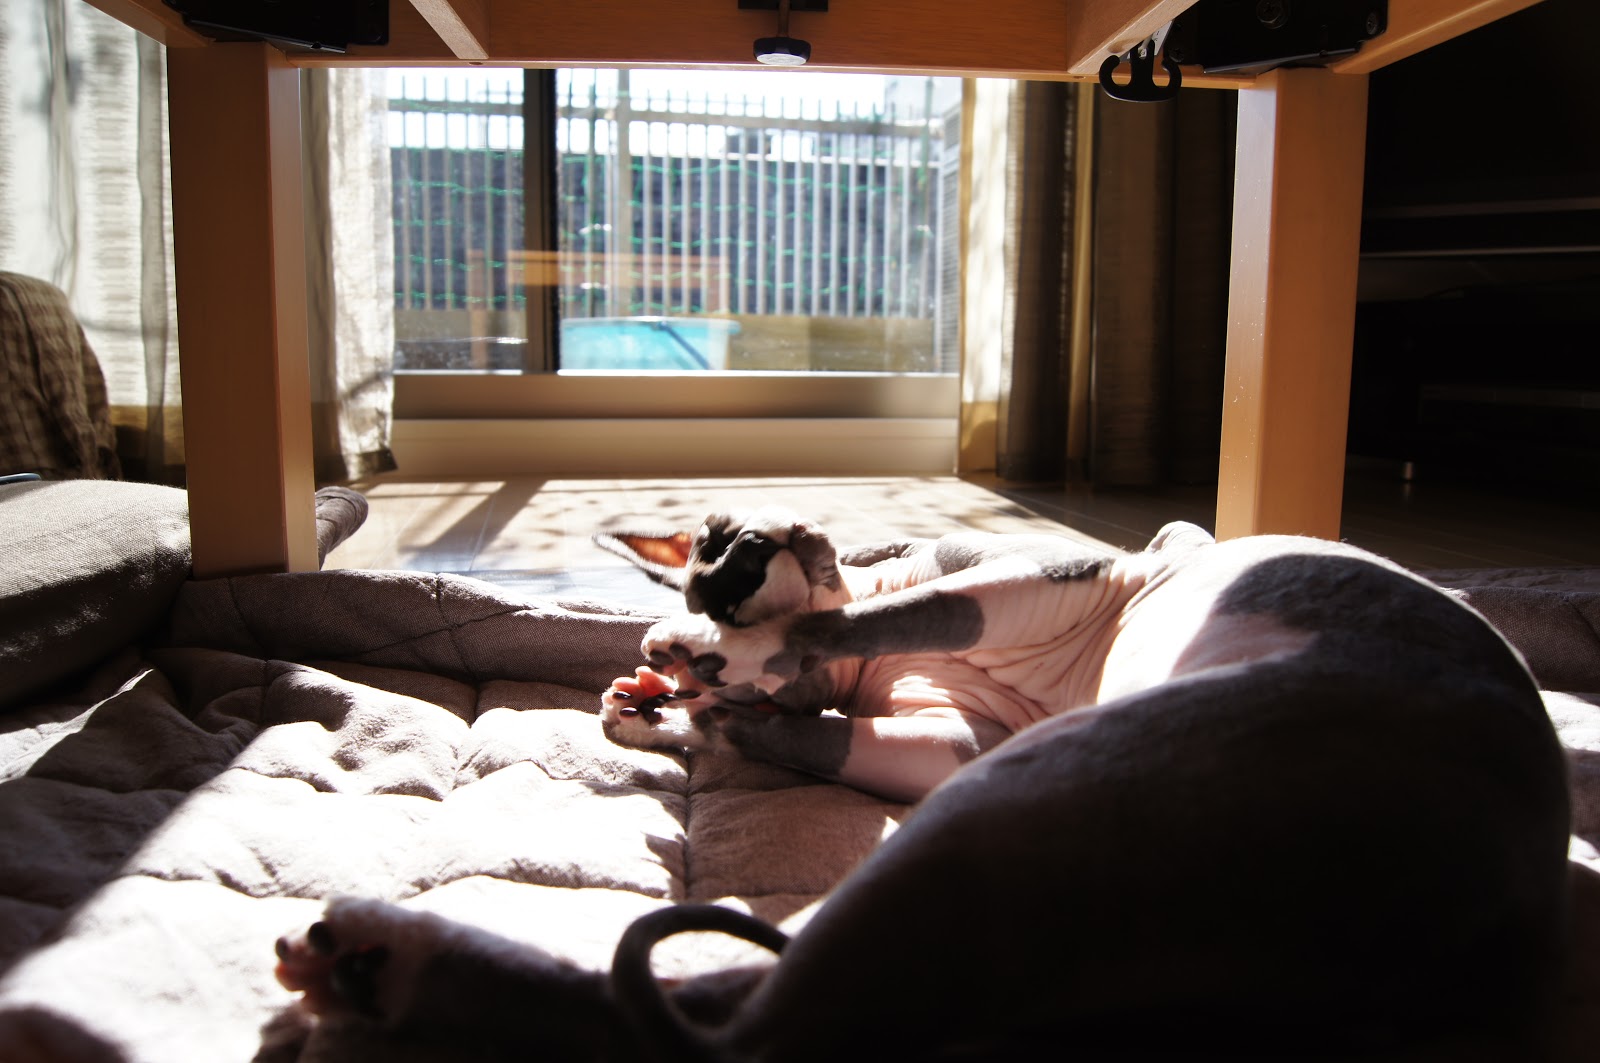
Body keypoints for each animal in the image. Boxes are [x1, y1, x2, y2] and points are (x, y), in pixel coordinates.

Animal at [275, 512, 1573, 1060]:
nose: (725, 576)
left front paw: (712, 669)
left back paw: (392, 962)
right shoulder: (945, 738)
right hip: (986, 813)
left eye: (722, 541)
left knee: (746, 1031)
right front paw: (674, 702)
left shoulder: (1004, 593)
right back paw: (375, 966)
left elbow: (873, 616)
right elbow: (815, 732)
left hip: (1003, 801)